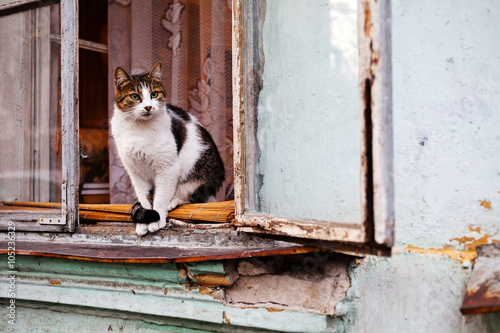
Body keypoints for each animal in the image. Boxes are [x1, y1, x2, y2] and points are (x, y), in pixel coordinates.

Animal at [112, 61, 226, 235]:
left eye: (154, 94)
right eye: (135, 96)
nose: (148, 107)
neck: (139, 129)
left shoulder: (167, 168)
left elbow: (161, 196)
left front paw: (157, 219)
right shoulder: (136, 172)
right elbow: (144, 198)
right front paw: (144, 222)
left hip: (201, 171)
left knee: (190, 192)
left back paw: (174, 200)